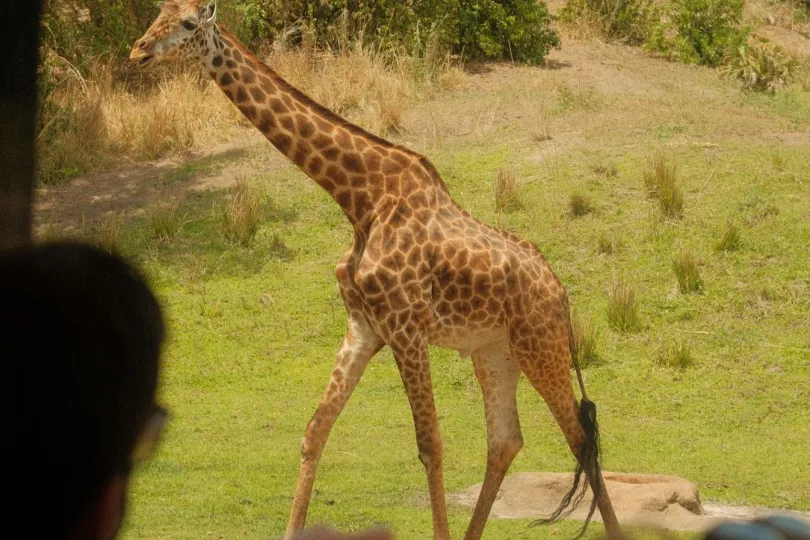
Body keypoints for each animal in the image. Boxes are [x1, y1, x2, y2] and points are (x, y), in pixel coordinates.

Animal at [131, 2, 623, 539]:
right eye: (160, 11)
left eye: (189, 24)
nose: (138, 50)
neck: (360, 198)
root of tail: (561, 292)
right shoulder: (364, 326)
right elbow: (315, 430)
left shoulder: (406, 328)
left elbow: (431, 446)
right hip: (494, 351)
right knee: (506, 440)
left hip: (541, 345)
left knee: (580, 440)